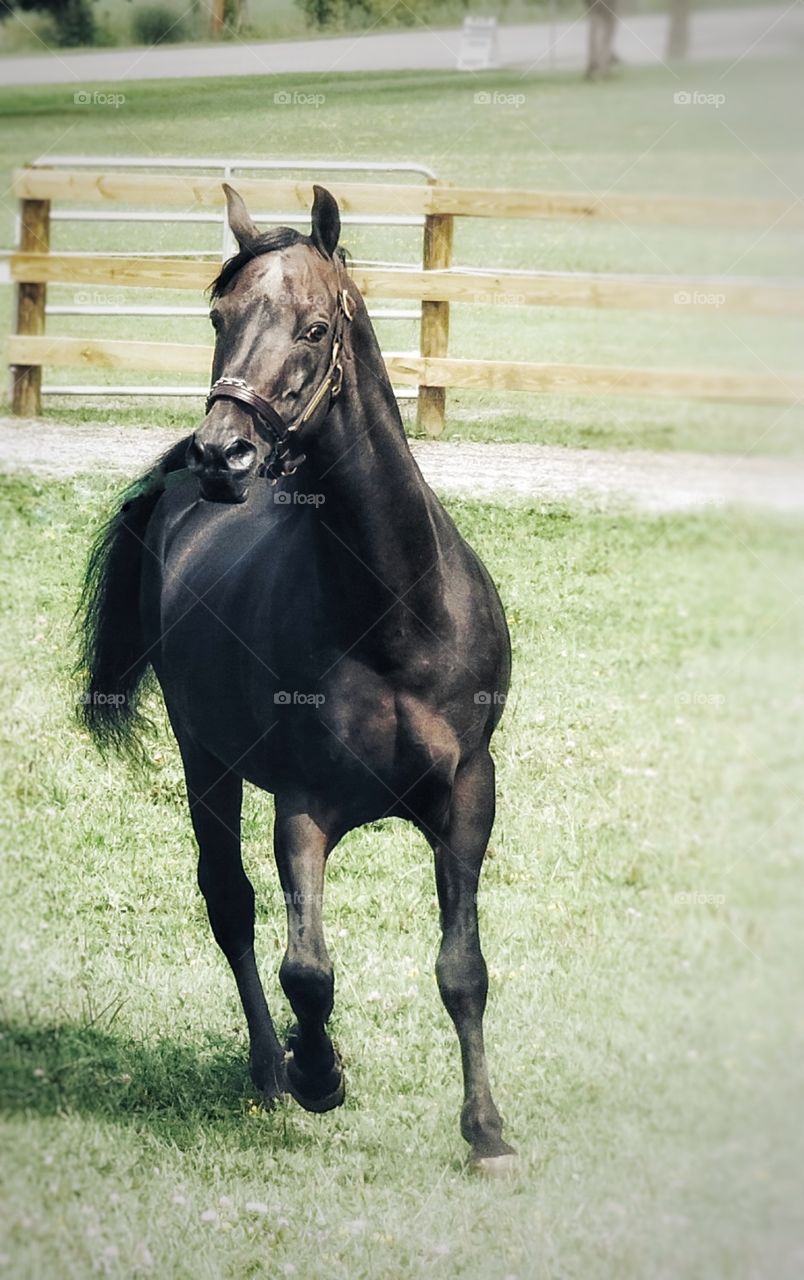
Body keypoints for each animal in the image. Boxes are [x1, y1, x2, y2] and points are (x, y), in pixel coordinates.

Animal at [78, 184, 515, 1172]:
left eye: (314, 329)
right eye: (218, 317)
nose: (223, 455)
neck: (395, 620)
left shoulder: (468, 796)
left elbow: (462, 969)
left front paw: (487, 1131)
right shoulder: (303, 804)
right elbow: (306, 968)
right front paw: (321, 1074)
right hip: (205, 761)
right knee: (230, 906)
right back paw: (273, 1071)